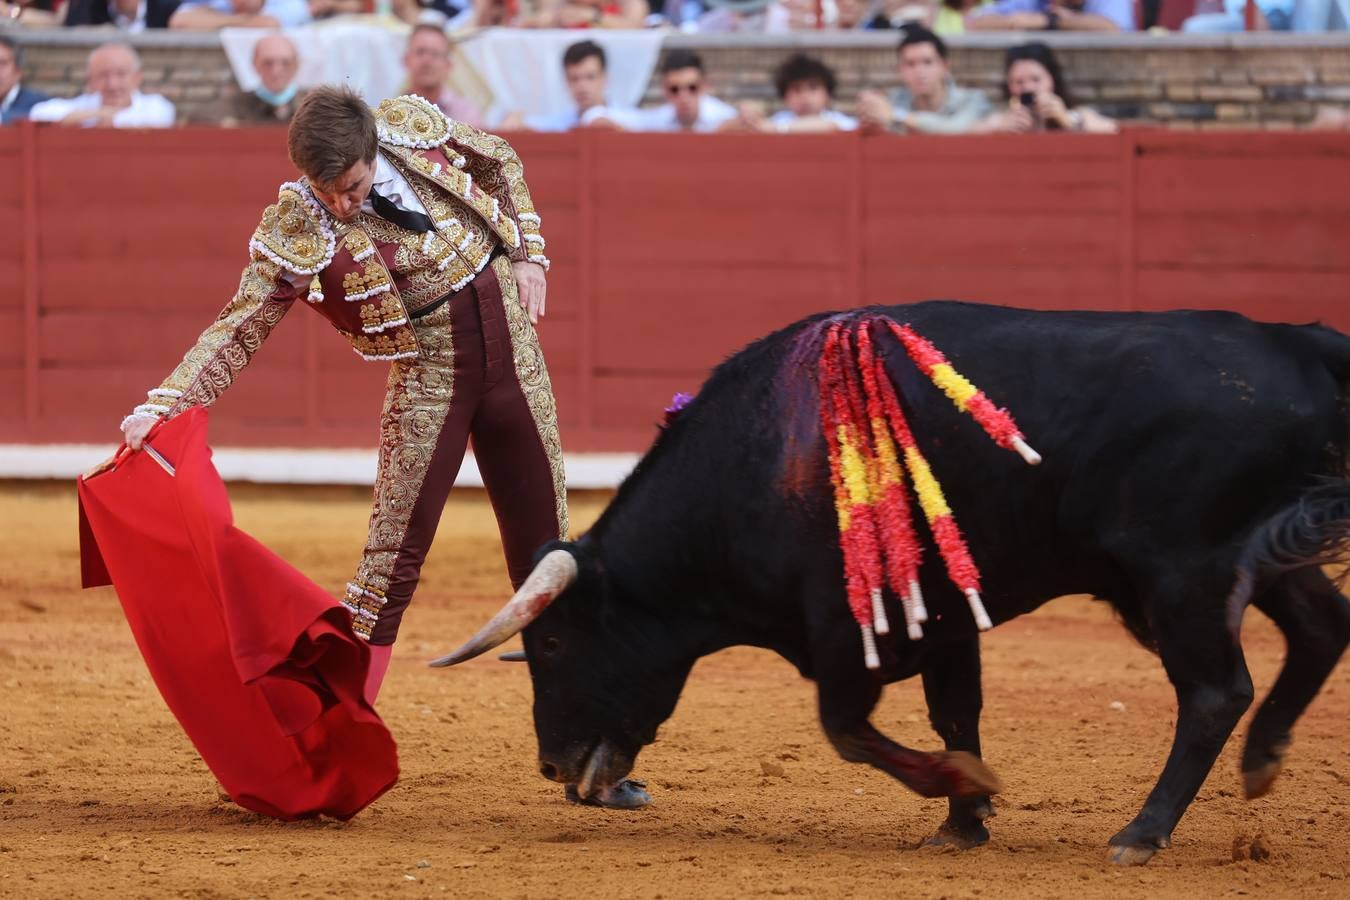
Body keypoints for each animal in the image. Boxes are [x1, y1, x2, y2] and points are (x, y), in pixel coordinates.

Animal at [434, 302, 1350, 863]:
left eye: (554, 641)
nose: (551, 766)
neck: (760, 455)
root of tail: (1299, 343)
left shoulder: (848, 634)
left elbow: (845, 728)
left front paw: (966, 788)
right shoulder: (943, 618)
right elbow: (955, 711)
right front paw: (964, 822)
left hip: (1181, 572)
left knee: (1215, 692)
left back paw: (1142, 831)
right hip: (1258, 555)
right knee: (1319, 628)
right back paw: (1263, 762)